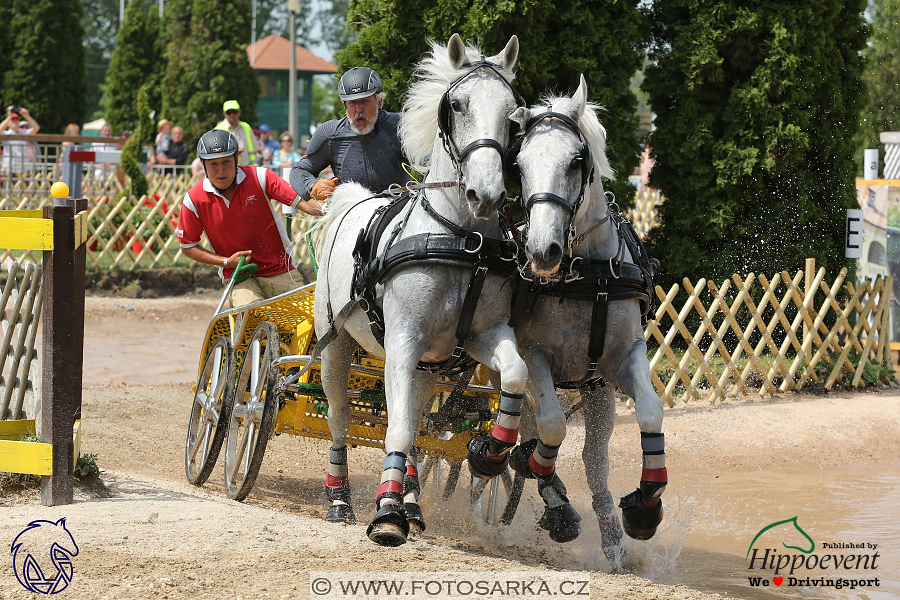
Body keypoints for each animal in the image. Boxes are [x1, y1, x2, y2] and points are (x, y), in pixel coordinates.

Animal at [314, 34, 532, 548]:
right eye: (457, 104)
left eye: (514, 112)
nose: (486, 194)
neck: (460, 240)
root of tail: (352, 200)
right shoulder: (401, 341)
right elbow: (393, 429)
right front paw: (385, 514)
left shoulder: (480, 336)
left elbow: (514, 374)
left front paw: (491, 452)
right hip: (336, 345)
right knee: (339, 419)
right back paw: (340, 498)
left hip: (431, 368)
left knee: (416, 425)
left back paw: (411, 501)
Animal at [502, 76, 664, 564]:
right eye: (518, 165)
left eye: (576, 160)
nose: (542, 251)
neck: (589, 277)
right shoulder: (533, 356)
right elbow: (551, 428)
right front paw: (537, 473)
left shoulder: (623, 360)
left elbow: (651, 413)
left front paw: (645, 508)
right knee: (530, 425)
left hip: (596, 392)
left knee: (594, 459)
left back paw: (609, 533)